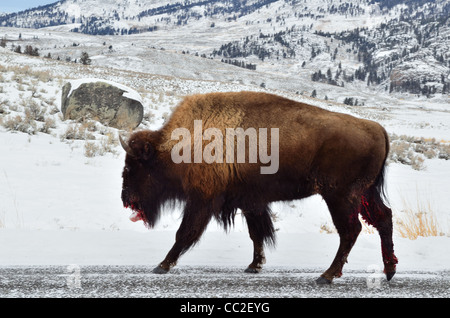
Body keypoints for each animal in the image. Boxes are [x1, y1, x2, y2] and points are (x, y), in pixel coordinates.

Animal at [119, 91, 398, 284]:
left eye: (133, 167)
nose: (125, 199)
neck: (180, 145)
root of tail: (379, 129)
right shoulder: (249, 202)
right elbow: (257, 234)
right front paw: (254, 266)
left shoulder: (202, 201)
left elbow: (185, 233)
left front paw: (162, 265)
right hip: (365, 194)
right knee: (383, 218)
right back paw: (389, 271)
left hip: (340, 196)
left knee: (351, 230)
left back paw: (327, 275)